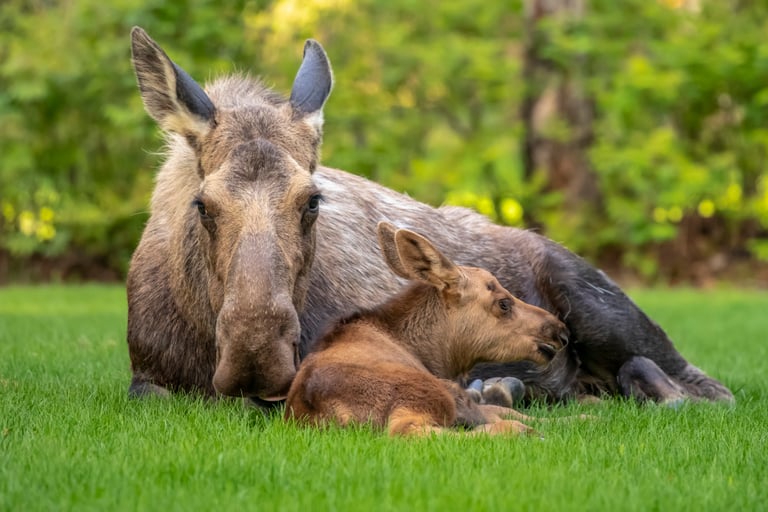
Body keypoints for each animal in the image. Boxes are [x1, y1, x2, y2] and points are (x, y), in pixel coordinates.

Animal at [124, 28, 732, 406]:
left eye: (313, 200)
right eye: (202, 204)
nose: (256, 354)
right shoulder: (144, 374)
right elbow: (155, 394)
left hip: (600, 306)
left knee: (703, 387)